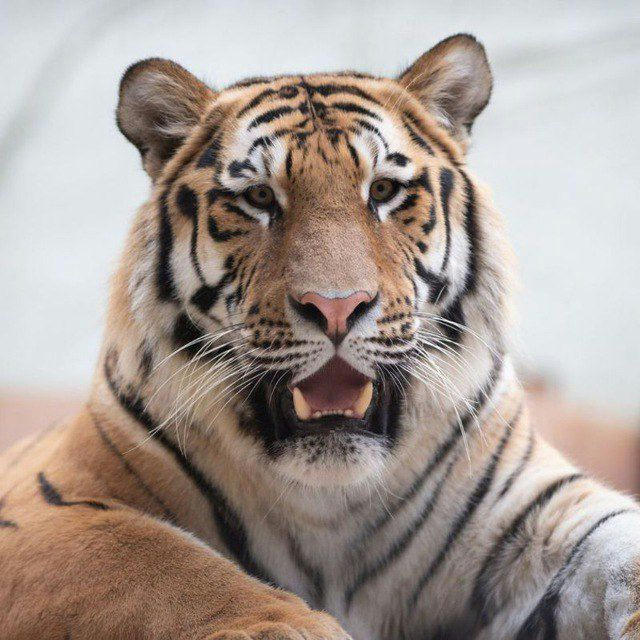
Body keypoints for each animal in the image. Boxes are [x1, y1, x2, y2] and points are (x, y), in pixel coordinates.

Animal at [1, 32, 639, 640]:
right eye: (259, 197)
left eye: (382, 191)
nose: (336, 307)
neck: (331, 503)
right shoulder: (49, 505)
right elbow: (171, 570)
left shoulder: (538, 512)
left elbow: (623, 555)